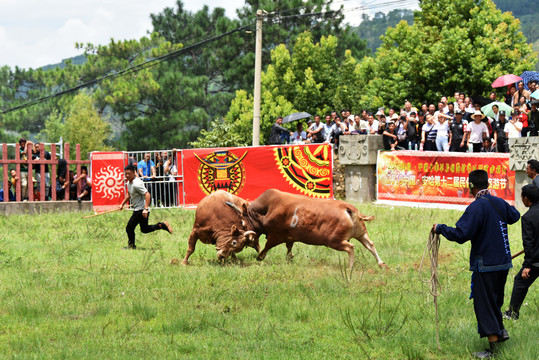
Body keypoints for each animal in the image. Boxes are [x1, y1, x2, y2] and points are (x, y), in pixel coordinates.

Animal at [227, 188, 384, 270]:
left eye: (243, 223)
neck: (266, 209)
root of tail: (348, 208)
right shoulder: (289, 237)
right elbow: (289, 247)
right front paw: (289, 257)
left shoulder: (275, 235)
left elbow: (267, 246)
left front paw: (260, 256)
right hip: (361, 234)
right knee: (370, 244)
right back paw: (381, 264)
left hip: (335, 240)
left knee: (350, 247)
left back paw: (350, 267)